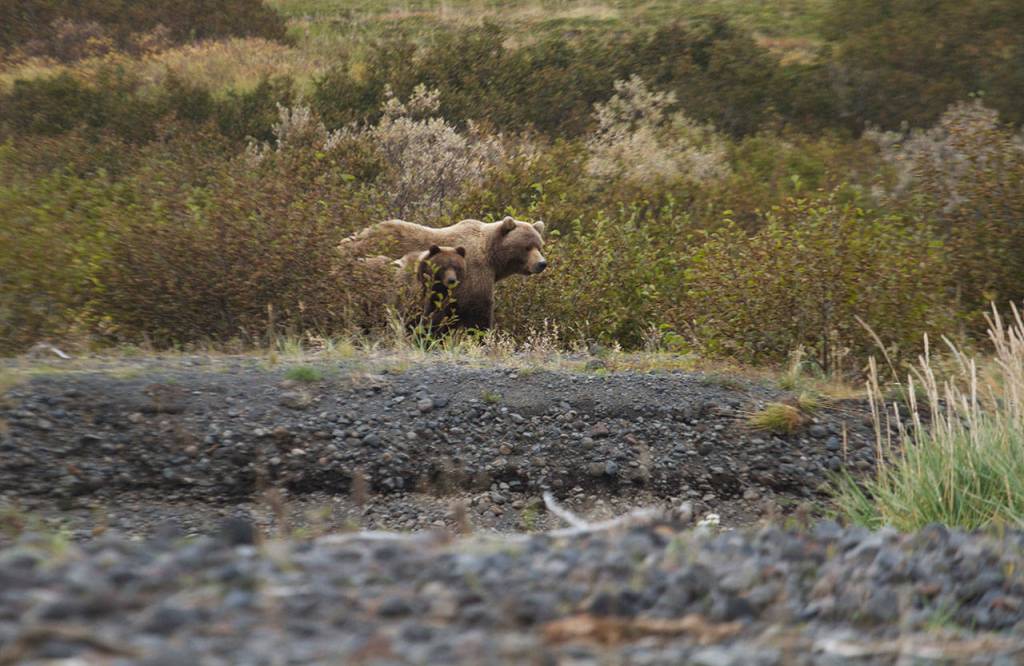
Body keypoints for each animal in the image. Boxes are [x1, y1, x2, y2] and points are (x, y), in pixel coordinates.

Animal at [340, 215, 547, 330]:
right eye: (527, 247)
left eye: (539, 245)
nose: (542, 263)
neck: (491, 257)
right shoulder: (474, 275)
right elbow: (478, 313)